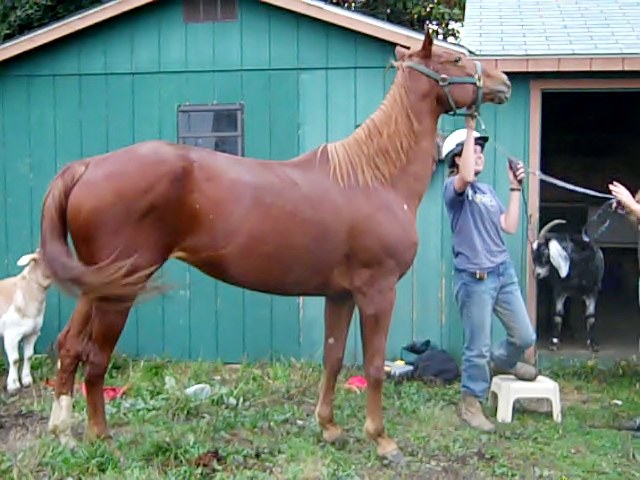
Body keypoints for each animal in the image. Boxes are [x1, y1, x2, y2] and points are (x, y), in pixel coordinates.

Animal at [0, 251, 52, 394]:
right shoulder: (11, 335)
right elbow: (15, 359)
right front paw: (13, 385)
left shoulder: (32, 333)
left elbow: (29, 355)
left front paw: (26, 380)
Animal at [41, 31, 510, 460]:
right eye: (454, 58)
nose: (502, 79)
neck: (374, 179)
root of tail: (88, 166)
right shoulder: (378, 292)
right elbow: (374, 365)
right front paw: (382, 440)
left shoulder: (340, 294)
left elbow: (333, 358)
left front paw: (329, 428)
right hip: (119, 291)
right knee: (96, 359)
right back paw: (101, 438)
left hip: (98, 284)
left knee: (70, 346)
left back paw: (64, 433)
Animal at [528, 219, 604, 350]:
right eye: (533, 256)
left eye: (546, 254)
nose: (537, 274)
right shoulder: (559, 289)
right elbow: (558, 315)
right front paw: (554, 342)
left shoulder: (593, 291)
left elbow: (591, 317)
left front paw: (593, 343)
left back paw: (569, 329)